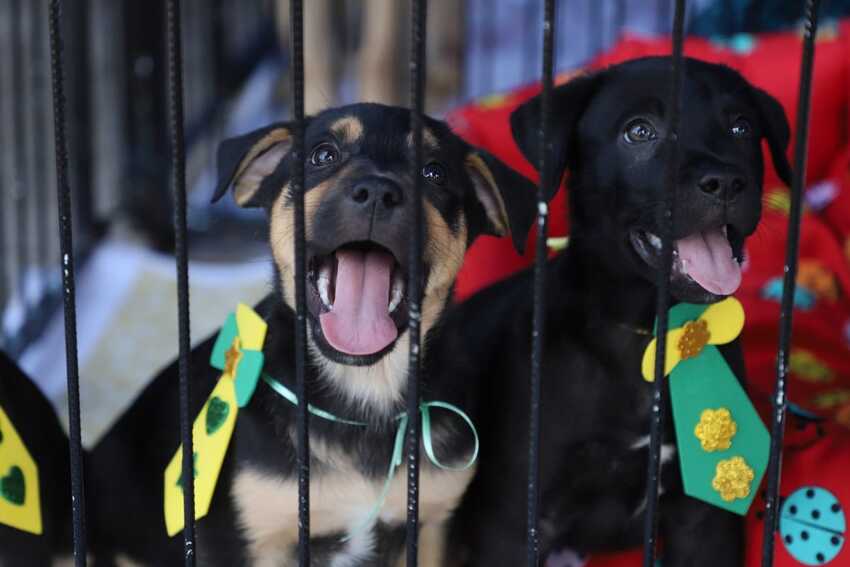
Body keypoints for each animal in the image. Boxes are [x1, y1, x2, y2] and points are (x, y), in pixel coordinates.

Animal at [88, 103, 536, 567]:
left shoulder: (431, 523)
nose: (377, 191)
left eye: (435, 172)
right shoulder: (246, 539)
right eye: (323, 155)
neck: (362, 394)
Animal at [448, 55, 792, 564]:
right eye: (639, 132)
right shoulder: (512, 522)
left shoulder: (704, 518)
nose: (727, 182)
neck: (648, 335)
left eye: (741, 127)